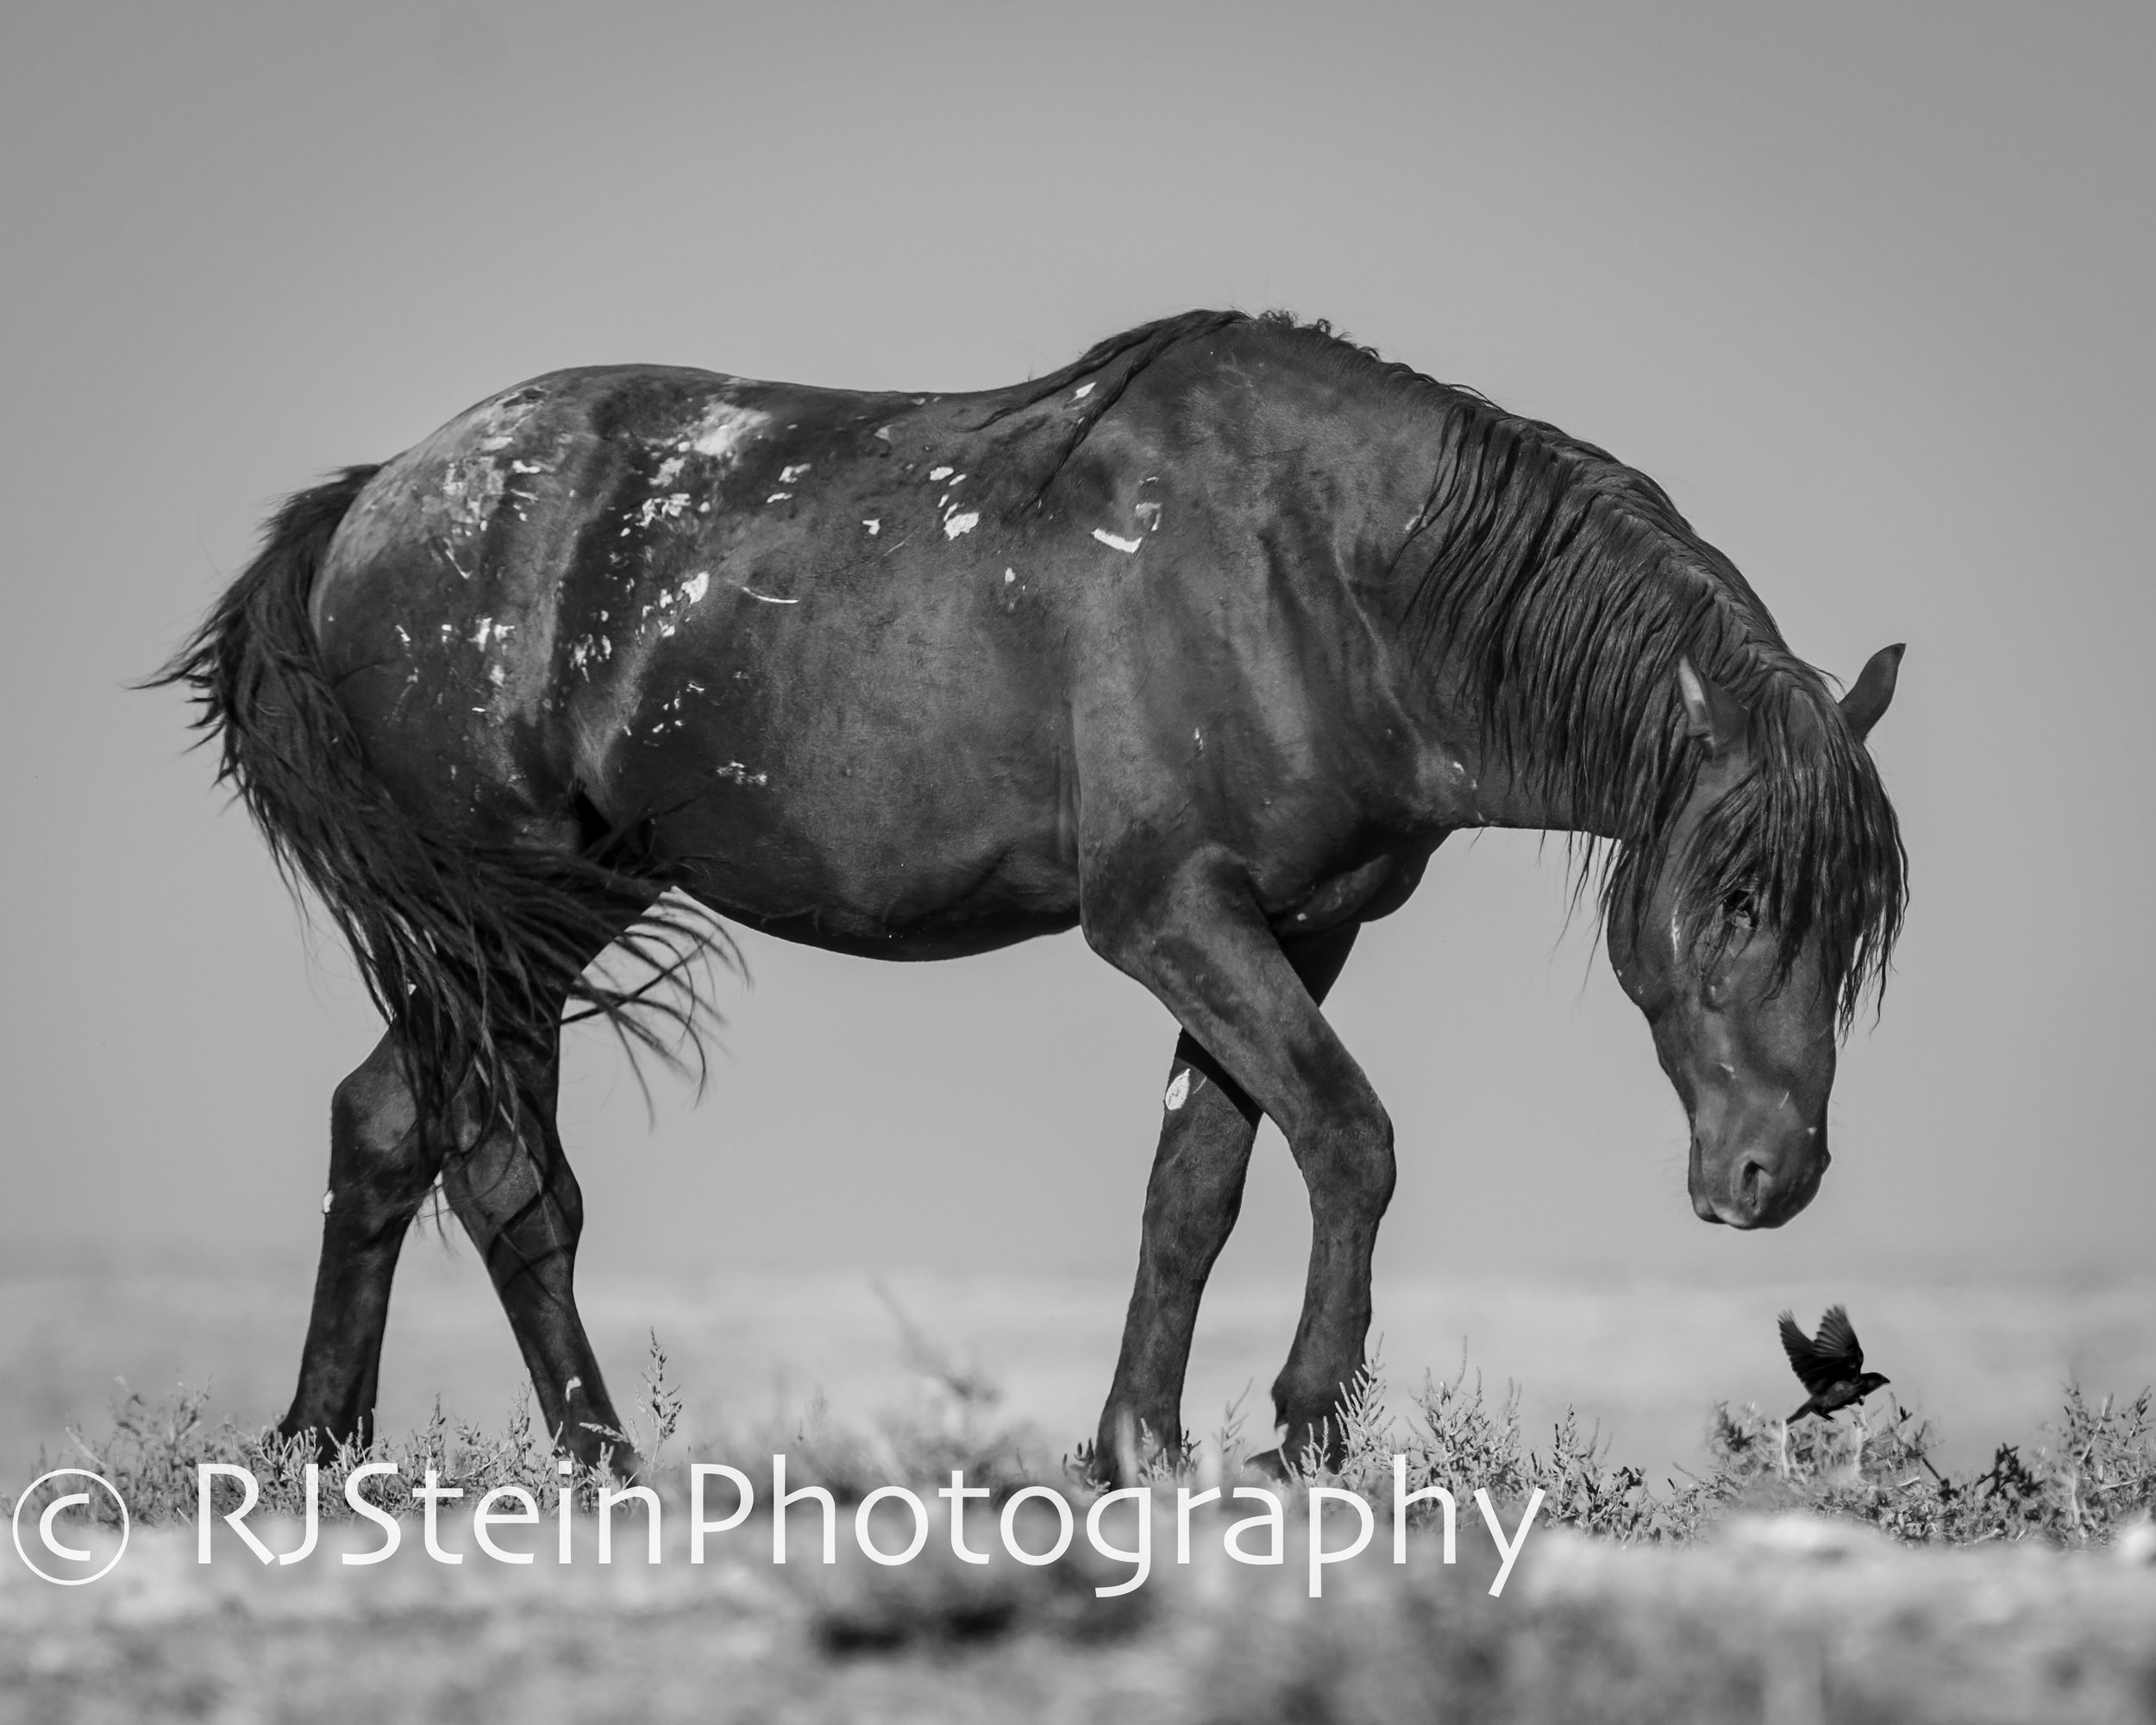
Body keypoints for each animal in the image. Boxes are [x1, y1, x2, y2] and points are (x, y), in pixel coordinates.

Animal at [156, 306, 1906, 1466]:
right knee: (504, 1175)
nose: (1777, 1175)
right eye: (1735, 901)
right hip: (501, 919)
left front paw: (1137, 1450)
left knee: (388, 1131)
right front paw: (1302, 1432)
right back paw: (598, 1467)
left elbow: (1197, 1189)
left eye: (1854, 927)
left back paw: (321, 1449)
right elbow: (1350, 1141)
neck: (1324, 573)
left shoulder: (1295, 932)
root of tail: (379, 501)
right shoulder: (1168, 918)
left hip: (539, 921)